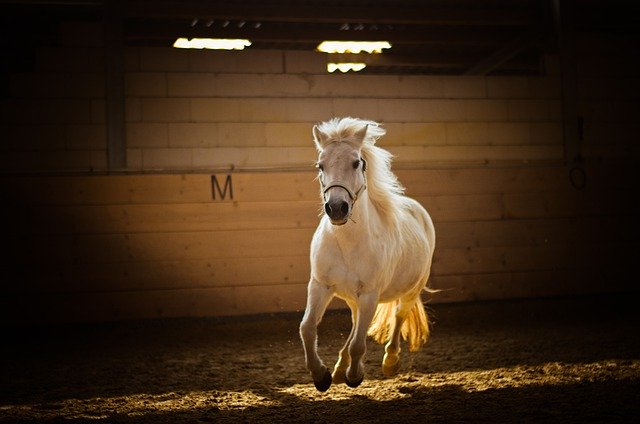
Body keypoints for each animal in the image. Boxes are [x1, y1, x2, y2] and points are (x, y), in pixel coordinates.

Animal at [300, 117, 436, 390]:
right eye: (321, 165)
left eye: (356, 162)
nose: (337, 208)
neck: (347, 243)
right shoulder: (320, 285)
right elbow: (307, 328)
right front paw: (321, 376)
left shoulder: (370, 294)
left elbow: (358, 344)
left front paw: (354, 376)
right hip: (354, 298)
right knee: (355, 324)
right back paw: (339, 369)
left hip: (410, 290)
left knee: (398, 316)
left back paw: (390, 361)